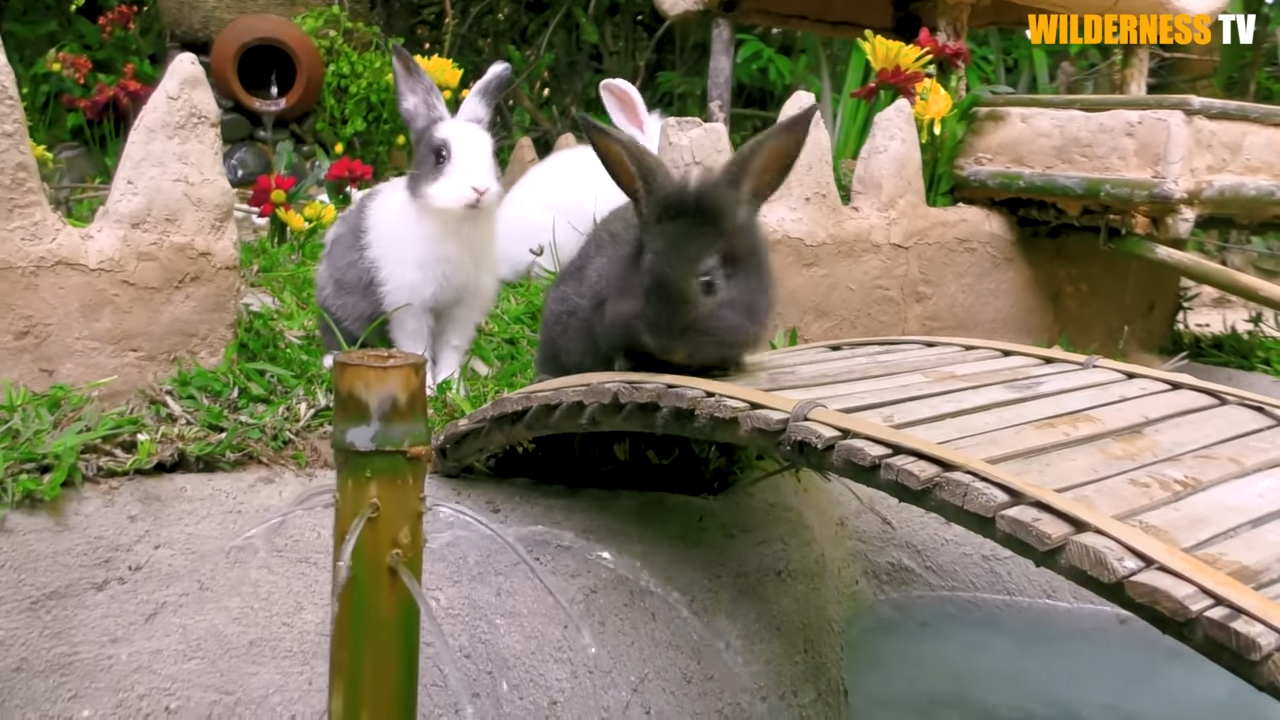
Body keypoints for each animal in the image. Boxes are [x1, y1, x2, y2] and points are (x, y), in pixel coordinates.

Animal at [314, 44, 514, 392]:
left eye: (491, 155)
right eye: (440, 155)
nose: (480, 189)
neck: (455, 224)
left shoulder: (461, 311)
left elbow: (450, 350)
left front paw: (452, 386)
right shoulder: (410, 308)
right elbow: (417, 347)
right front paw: (429, 389)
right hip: (334, 303)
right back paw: (331, 360)